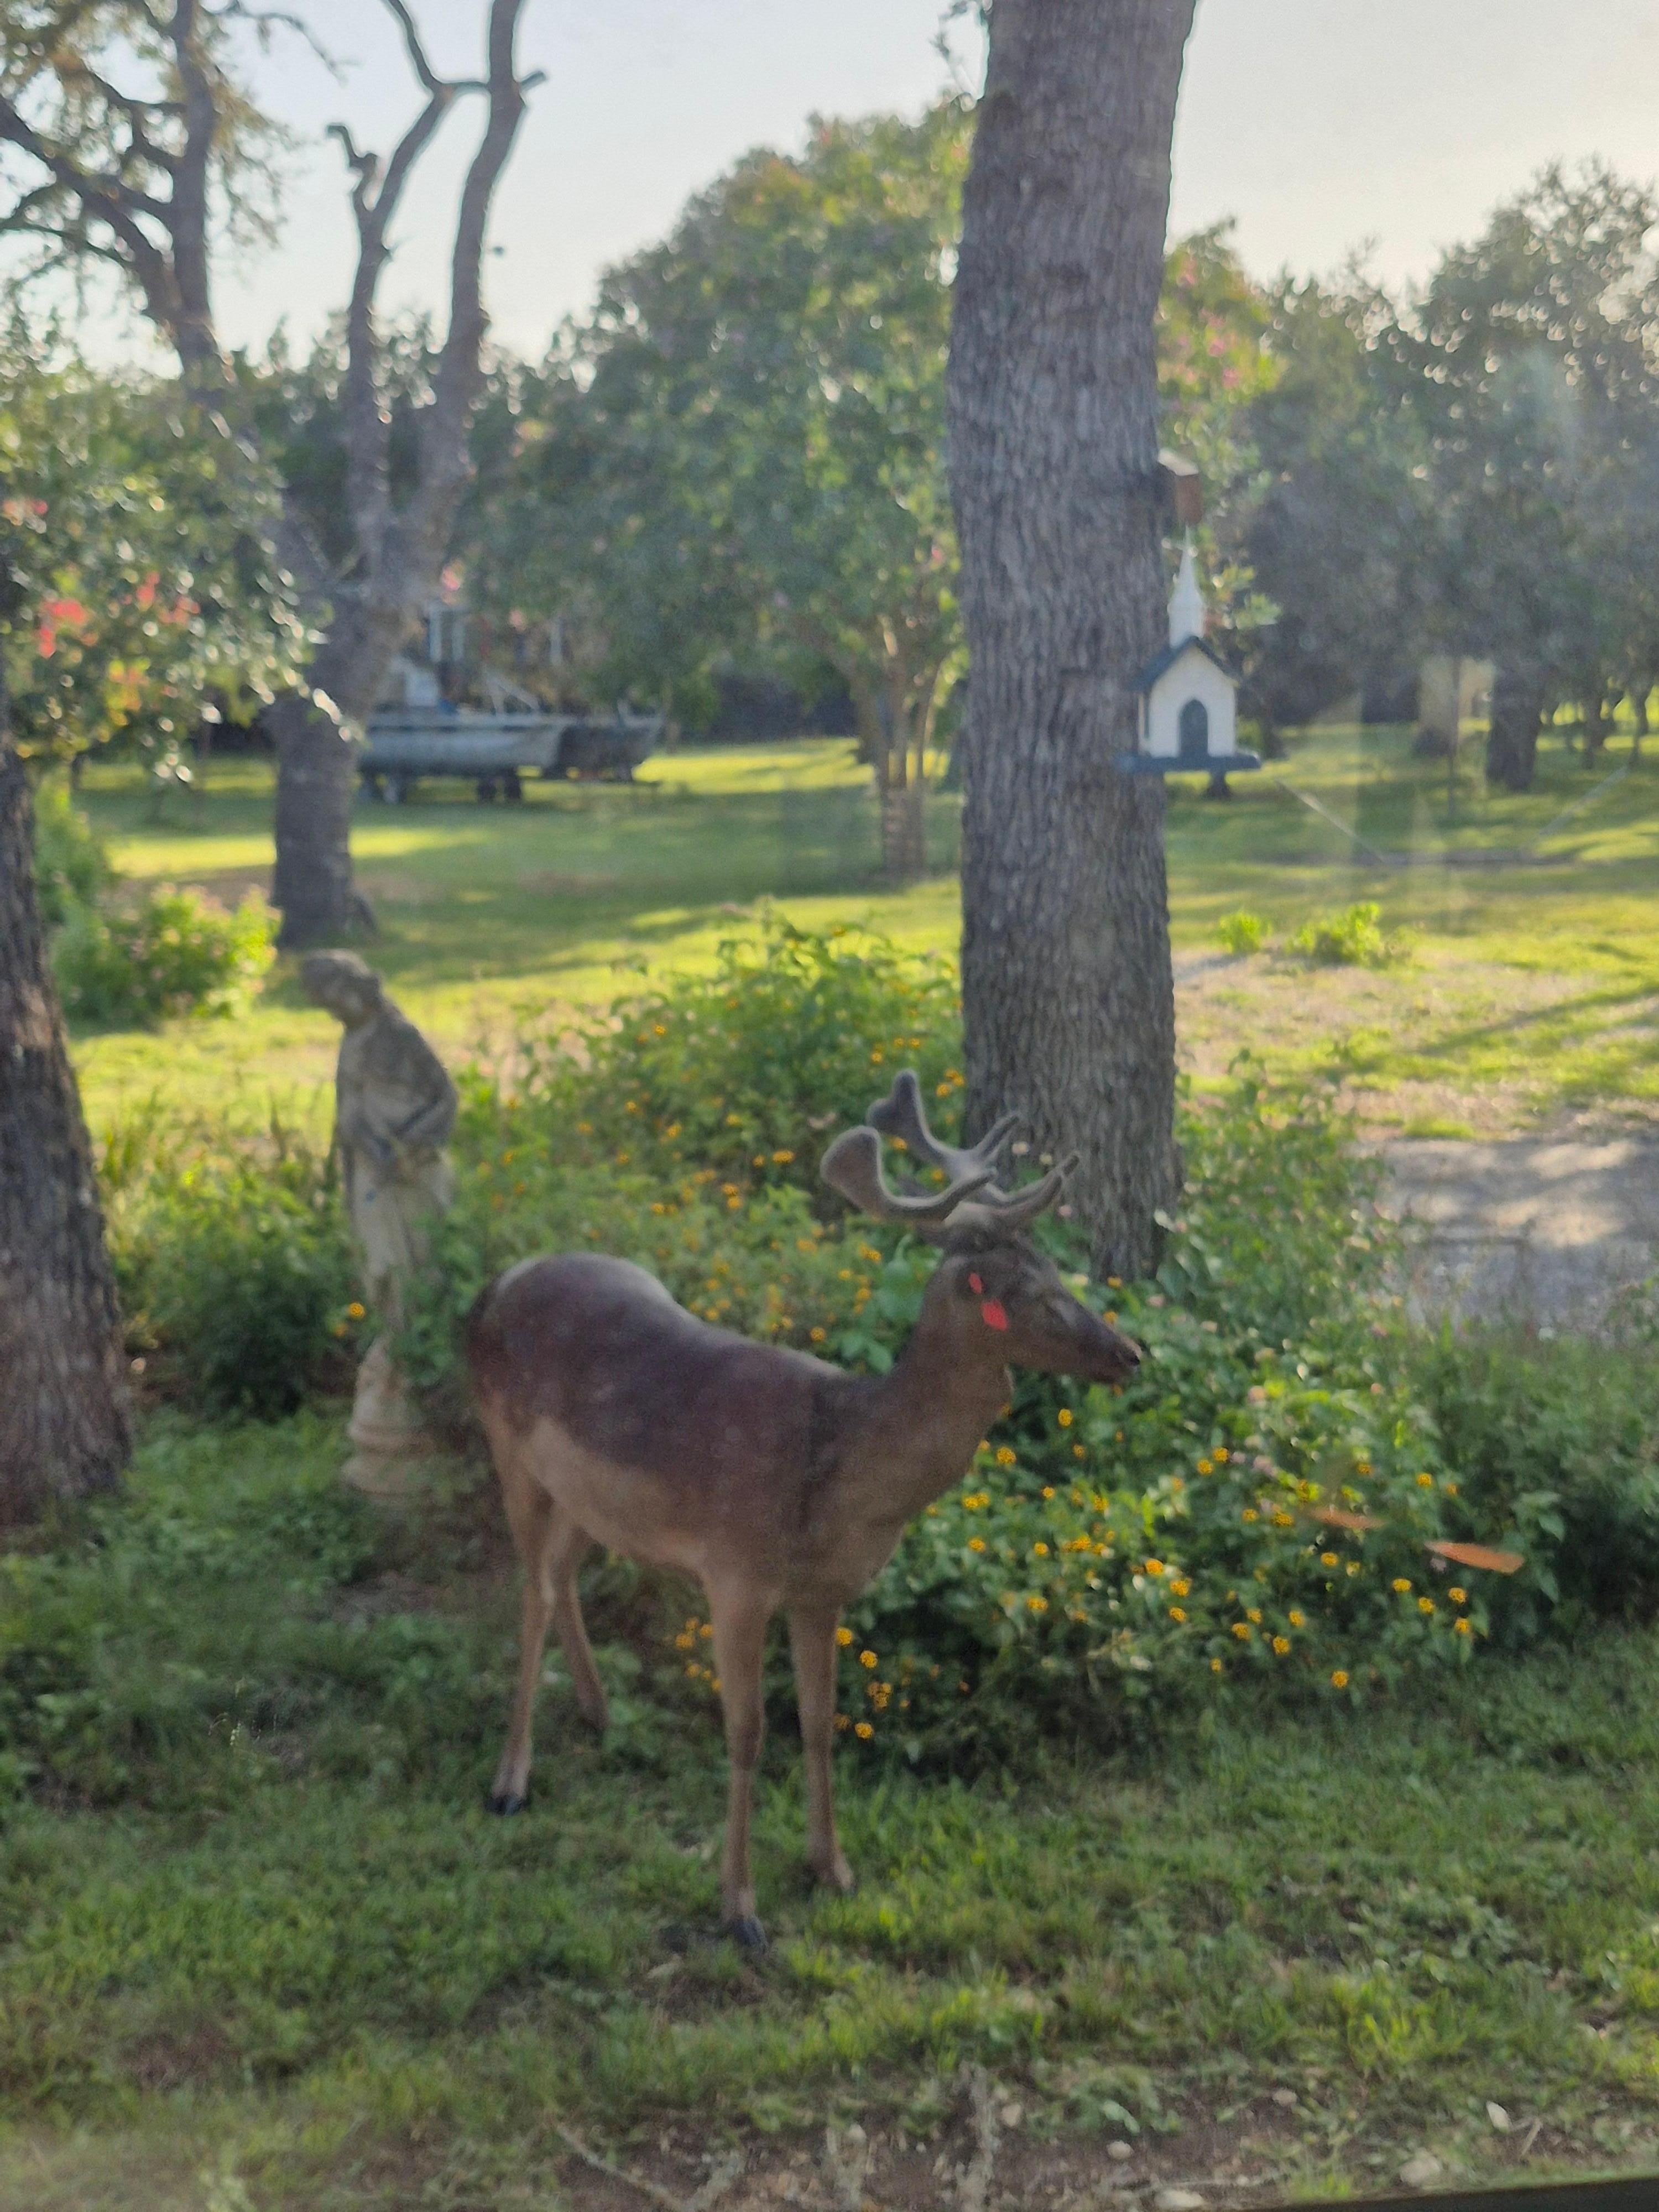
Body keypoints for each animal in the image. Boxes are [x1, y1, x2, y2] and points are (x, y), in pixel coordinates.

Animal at [466, 1070, 1141, 1949]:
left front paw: (834, 1869)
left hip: (589, 1496)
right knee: (534, 1589)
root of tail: (493, 1287)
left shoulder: (825, 1594)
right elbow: (748, 1732)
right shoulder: (734, 1573)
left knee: (564, 1575)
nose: (1130, 1352)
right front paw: (740, 1909)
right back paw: (511, 1780)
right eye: (1026, 1291)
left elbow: (821, 1722)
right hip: (507, 1446)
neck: (840, 1478)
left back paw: (600, 1713)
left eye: (1061, 1270)